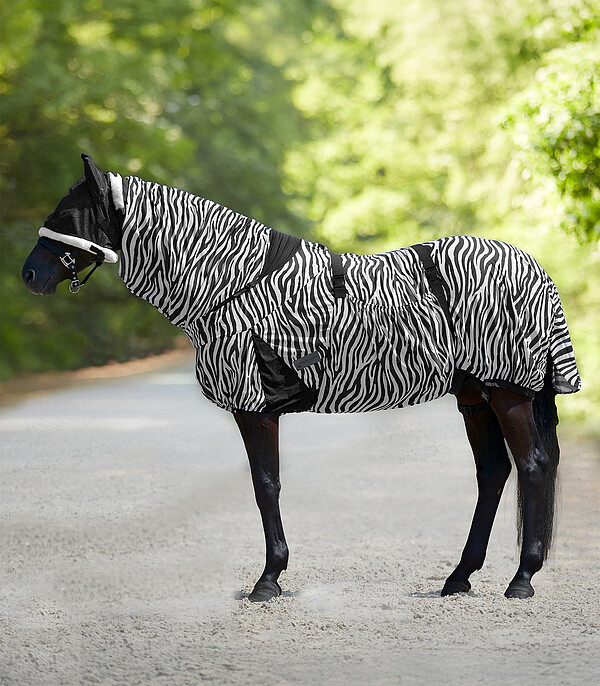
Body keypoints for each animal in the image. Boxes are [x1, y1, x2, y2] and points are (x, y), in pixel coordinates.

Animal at [22, 154, 581, 601]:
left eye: (67, 215)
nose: (29, 275)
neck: (232, 283)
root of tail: (535, 268)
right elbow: (266, 485)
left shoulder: (254, 407)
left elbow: (265, 485)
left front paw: (268, 581)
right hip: (475, 397)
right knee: (494, 473)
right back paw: (459, 577)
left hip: (508, 393)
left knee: (532, 467)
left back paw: (521, 580)